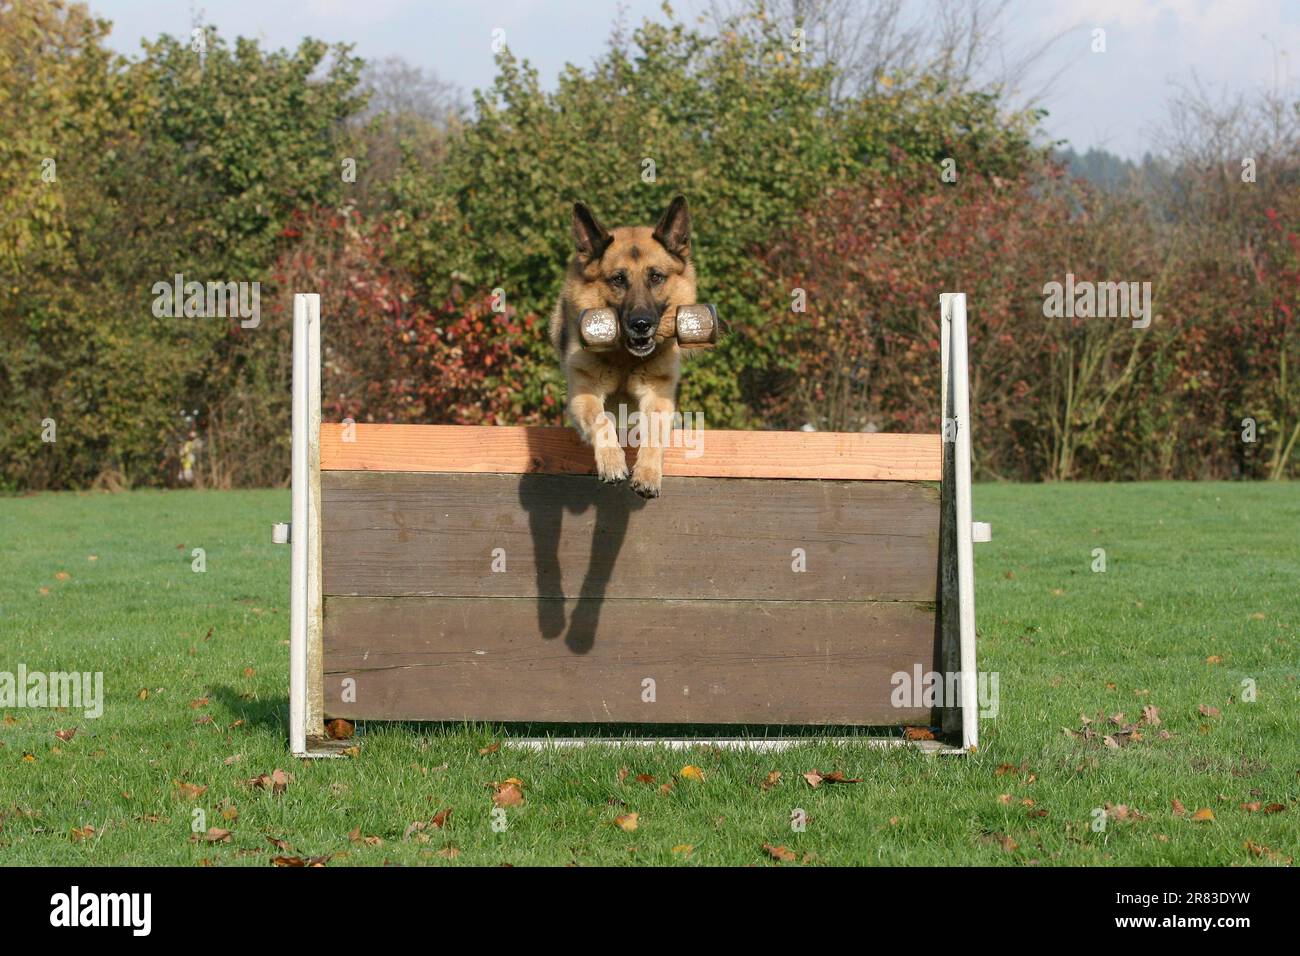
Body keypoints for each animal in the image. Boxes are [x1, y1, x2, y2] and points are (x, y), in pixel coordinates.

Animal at [551, 191, 702, 496]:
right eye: (618, 279)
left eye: (655, 277)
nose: (641, 324)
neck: (624, 357)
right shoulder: (584, 392)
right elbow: (600, 419)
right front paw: (611, 462)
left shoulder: (658, 396)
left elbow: (654, 433)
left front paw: (647, 474)